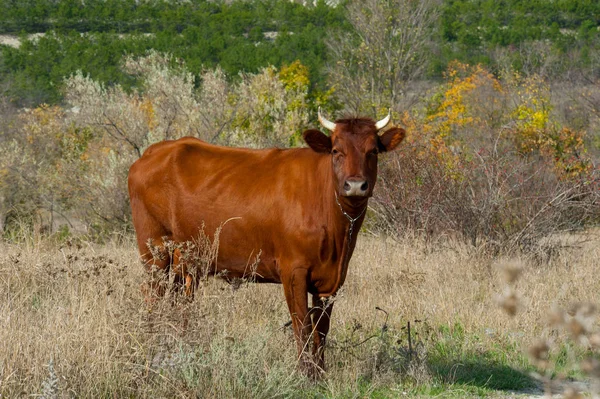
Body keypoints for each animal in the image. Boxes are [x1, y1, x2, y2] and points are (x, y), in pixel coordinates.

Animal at [128, 108, 406, 376]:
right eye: (336, 151)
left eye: (373, 151)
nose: (356, 185)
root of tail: (158, 149)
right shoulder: (293, 271)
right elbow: (302, 325)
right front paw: (305, 376)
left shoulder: (332, 280)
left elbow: (322, 329)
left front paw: (320, 375)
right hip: (155, 252)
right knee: (152, 299)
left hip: (186, 261)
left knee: (178, 304)